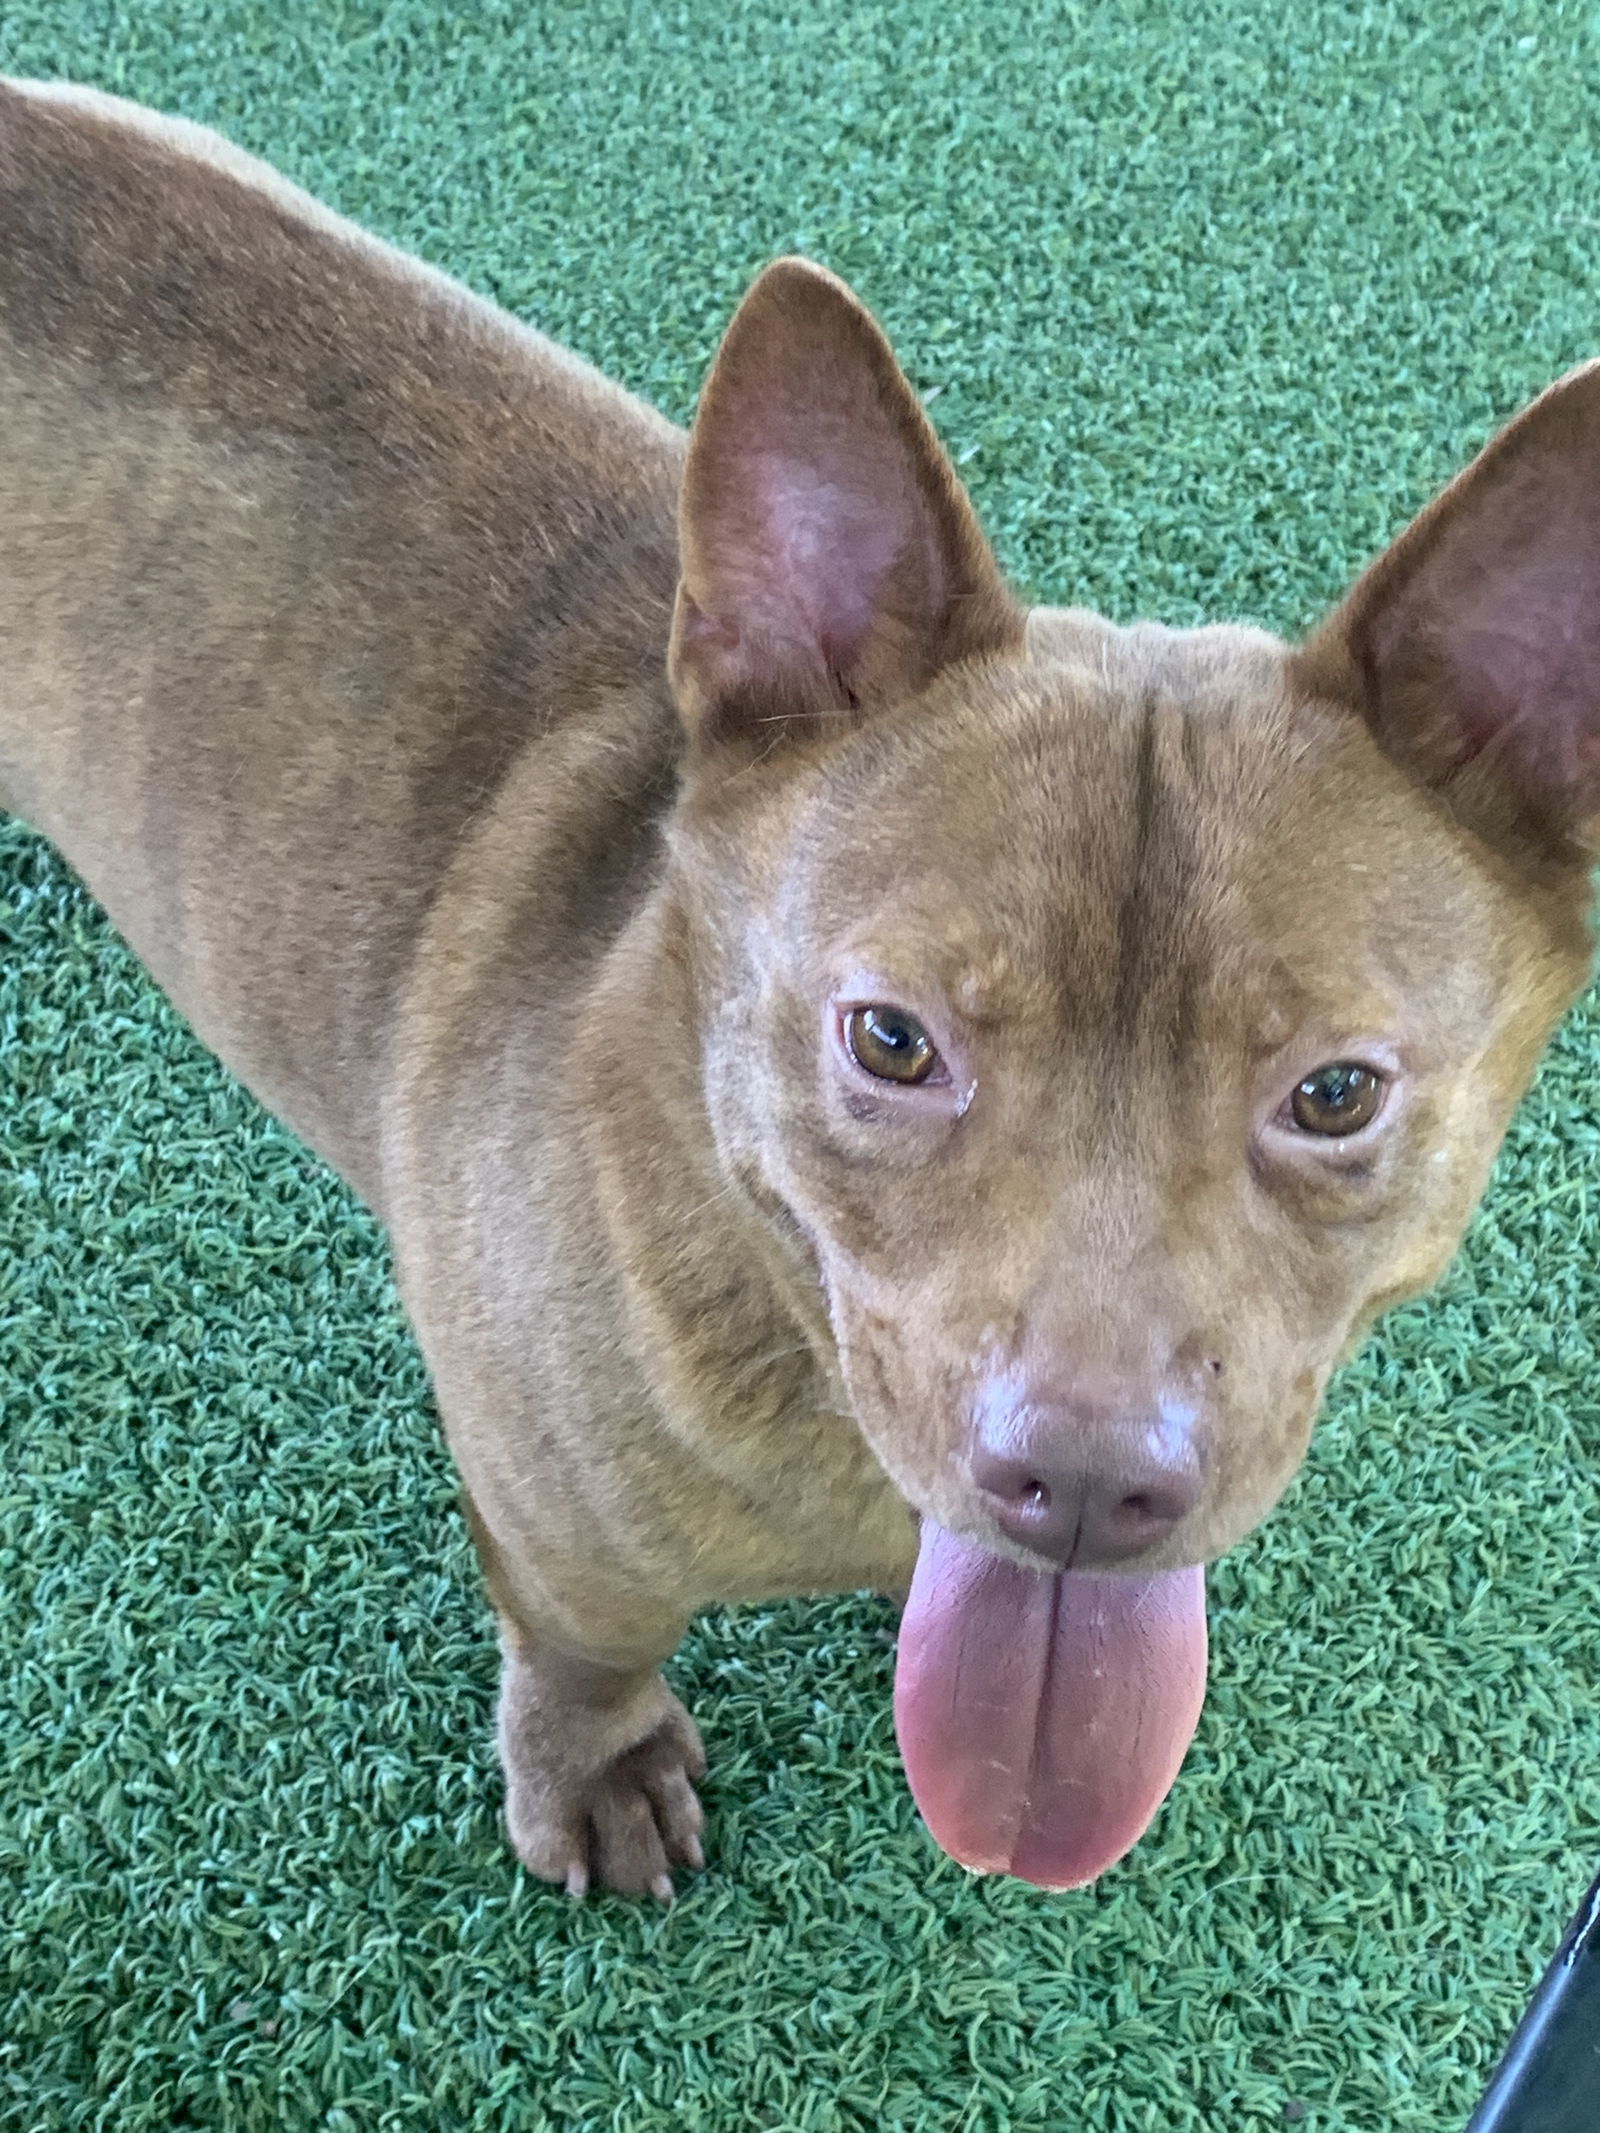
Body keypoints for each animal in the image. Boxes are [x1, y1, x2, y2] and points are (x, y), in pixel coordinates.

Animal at [3, 78, 1600, 1902]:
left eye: (1334, 1093)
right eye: (892, 1041)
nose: (1081, 1485)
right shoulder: (547, 1527)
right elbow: (584, 1646)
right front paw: (594, 1772)